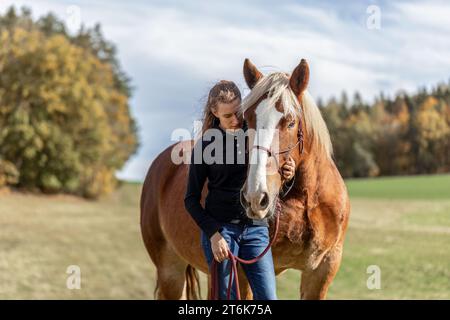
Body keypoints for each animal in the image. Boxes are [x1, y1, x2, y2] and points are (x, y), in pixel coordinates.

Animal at [139, 58, 350, 300]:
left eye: (290, 122)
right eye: (247, 120)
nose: (255, 197)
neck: (304, 200)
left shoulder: (322, 269)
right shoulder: (242, 269)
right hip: (170, 271)